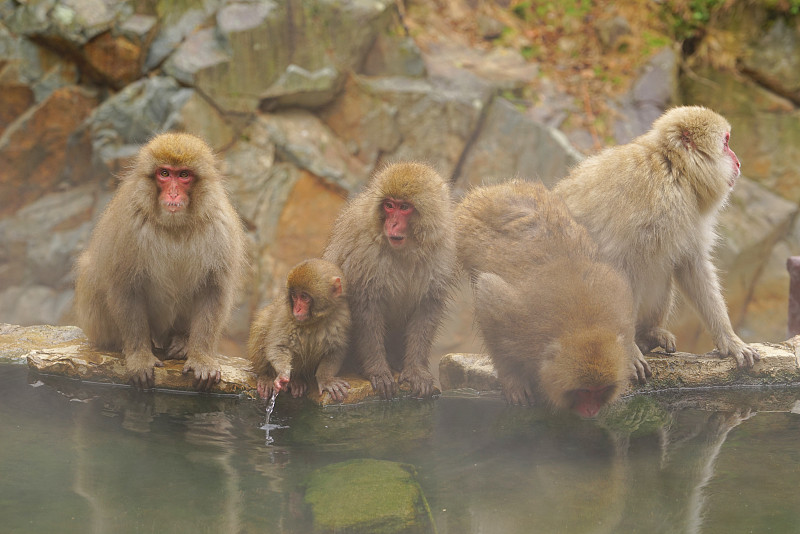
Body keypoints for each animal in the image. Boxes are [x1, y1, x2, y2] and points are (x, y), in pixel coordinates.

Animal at [74, 133, 247, 394]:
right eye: (164, 173)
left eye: (183, 175)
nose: (173, 194)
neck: (174, 225)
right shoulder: (129, 225)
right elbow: (126, 287)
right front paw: (139, 357)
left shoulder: (219, 227)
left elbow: (213, 289)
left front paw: (201, 357)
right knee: (92, 271)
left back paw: (182, 341)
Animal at [248, 260, 352, 402]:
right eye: (294, 296)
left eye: (304, 297)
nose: (297, 309)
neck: (314, 321)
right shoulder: (285, 316)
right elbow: (278, 346)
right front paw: (283, 375)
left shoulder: (342, 318)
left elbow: (336, 350)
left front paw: (326, 379)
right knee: (263, 322)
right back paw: (269, 377)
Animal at [320, 161, 456, 400]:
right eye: (389, 206)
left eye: (405, 207)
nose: (391, 224)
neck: (407, 249)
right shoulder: (364, 252)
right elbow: (366, 307)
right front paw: (378, 371)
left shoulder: (440, 251)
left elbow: (427, 308)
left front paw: (416, 371)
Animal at [456, 181, 636, 418]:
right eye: (584, 391)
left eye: (600, 390)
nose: (591, 410)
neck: (586, 325)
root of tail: (498, 189)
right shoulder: (517, 321)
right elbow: (489, 296)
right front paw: (513, 381)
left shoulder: (622, 308)